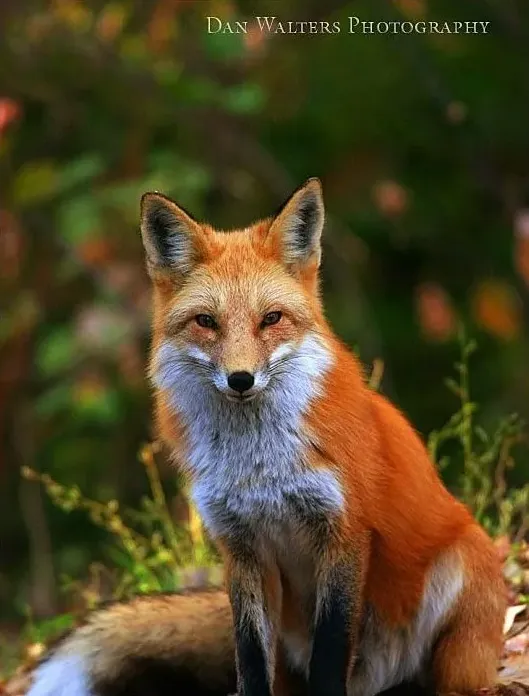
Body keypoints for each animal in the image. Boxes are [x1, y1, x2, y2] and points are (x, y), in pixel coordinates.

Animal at [138, 181, 506, 696]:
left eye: (271, 319)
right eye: (206, 322)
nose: (240, 379)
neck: (259, 467)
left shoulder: (344, 531)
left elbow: (330, 650)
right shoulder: (241, 548)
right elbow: (250, 657)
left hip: (457, 592)